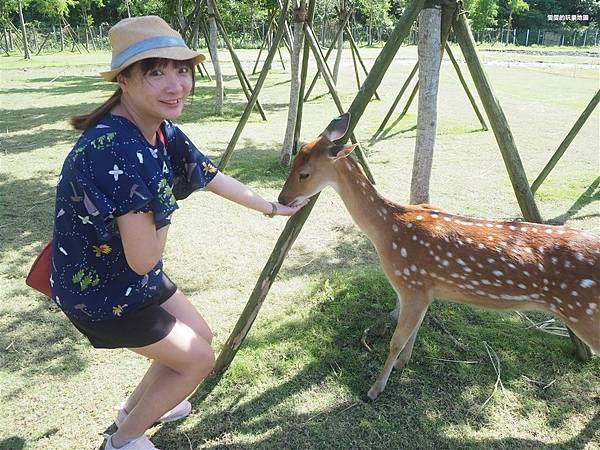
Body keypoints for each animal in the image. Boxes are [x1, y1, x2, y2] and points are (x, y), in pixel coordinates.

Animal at [280, 113, 600, 400]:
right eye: (293, 162)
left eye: (305, 173)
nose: (283, 199)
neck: (387, 231)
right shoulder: (425, 291)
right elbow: (412, 333)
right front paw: (402, 364)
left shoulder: (411, 285)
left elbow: (396, 340)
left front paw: (374, 390)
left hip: (585, 313)